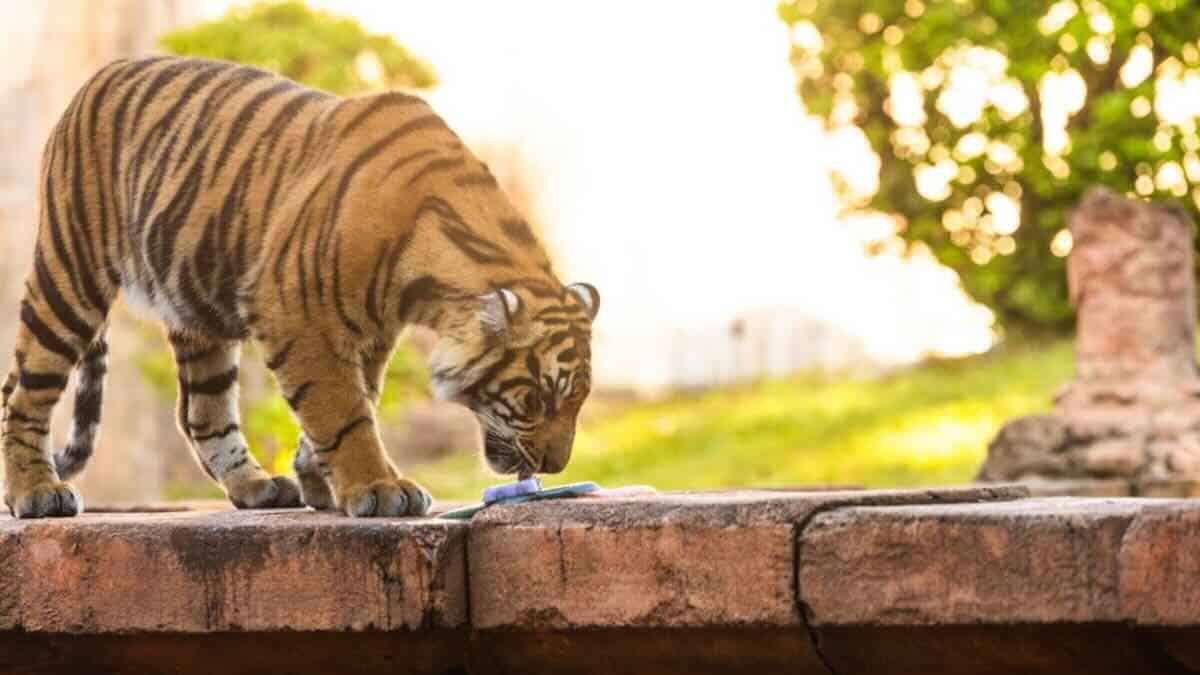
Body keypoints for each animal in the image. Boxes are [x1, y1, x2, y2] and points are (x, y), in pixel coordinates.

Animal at [1, 55, 600, 519]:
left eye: (578, 401)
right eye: (537, 398)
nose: (555, 465)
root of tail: (98, 77)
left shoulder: (370, 333)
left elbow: (357, 400)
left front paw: (318, 479)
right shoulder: (297, 312)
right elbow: (342, 409)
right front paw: (379, 488)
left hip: (199, 309)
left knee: (201, 412)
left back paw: (257, 487)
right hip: (71, 274)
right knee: (23, 391)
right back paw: (37, 494)